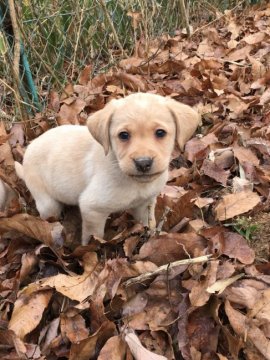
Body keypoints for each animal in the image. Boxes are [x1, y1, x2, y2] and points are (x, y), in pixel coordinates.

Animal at [15, 93, 200, 245]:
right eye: (123, 135)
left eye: (160, 133)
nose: (143, 163)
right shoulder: (92, 208)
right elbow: (93, 237)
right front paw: (91, 251)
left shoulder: (145, 203)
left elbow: (149, 223)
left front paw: (152, 236)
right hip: (47, 203)